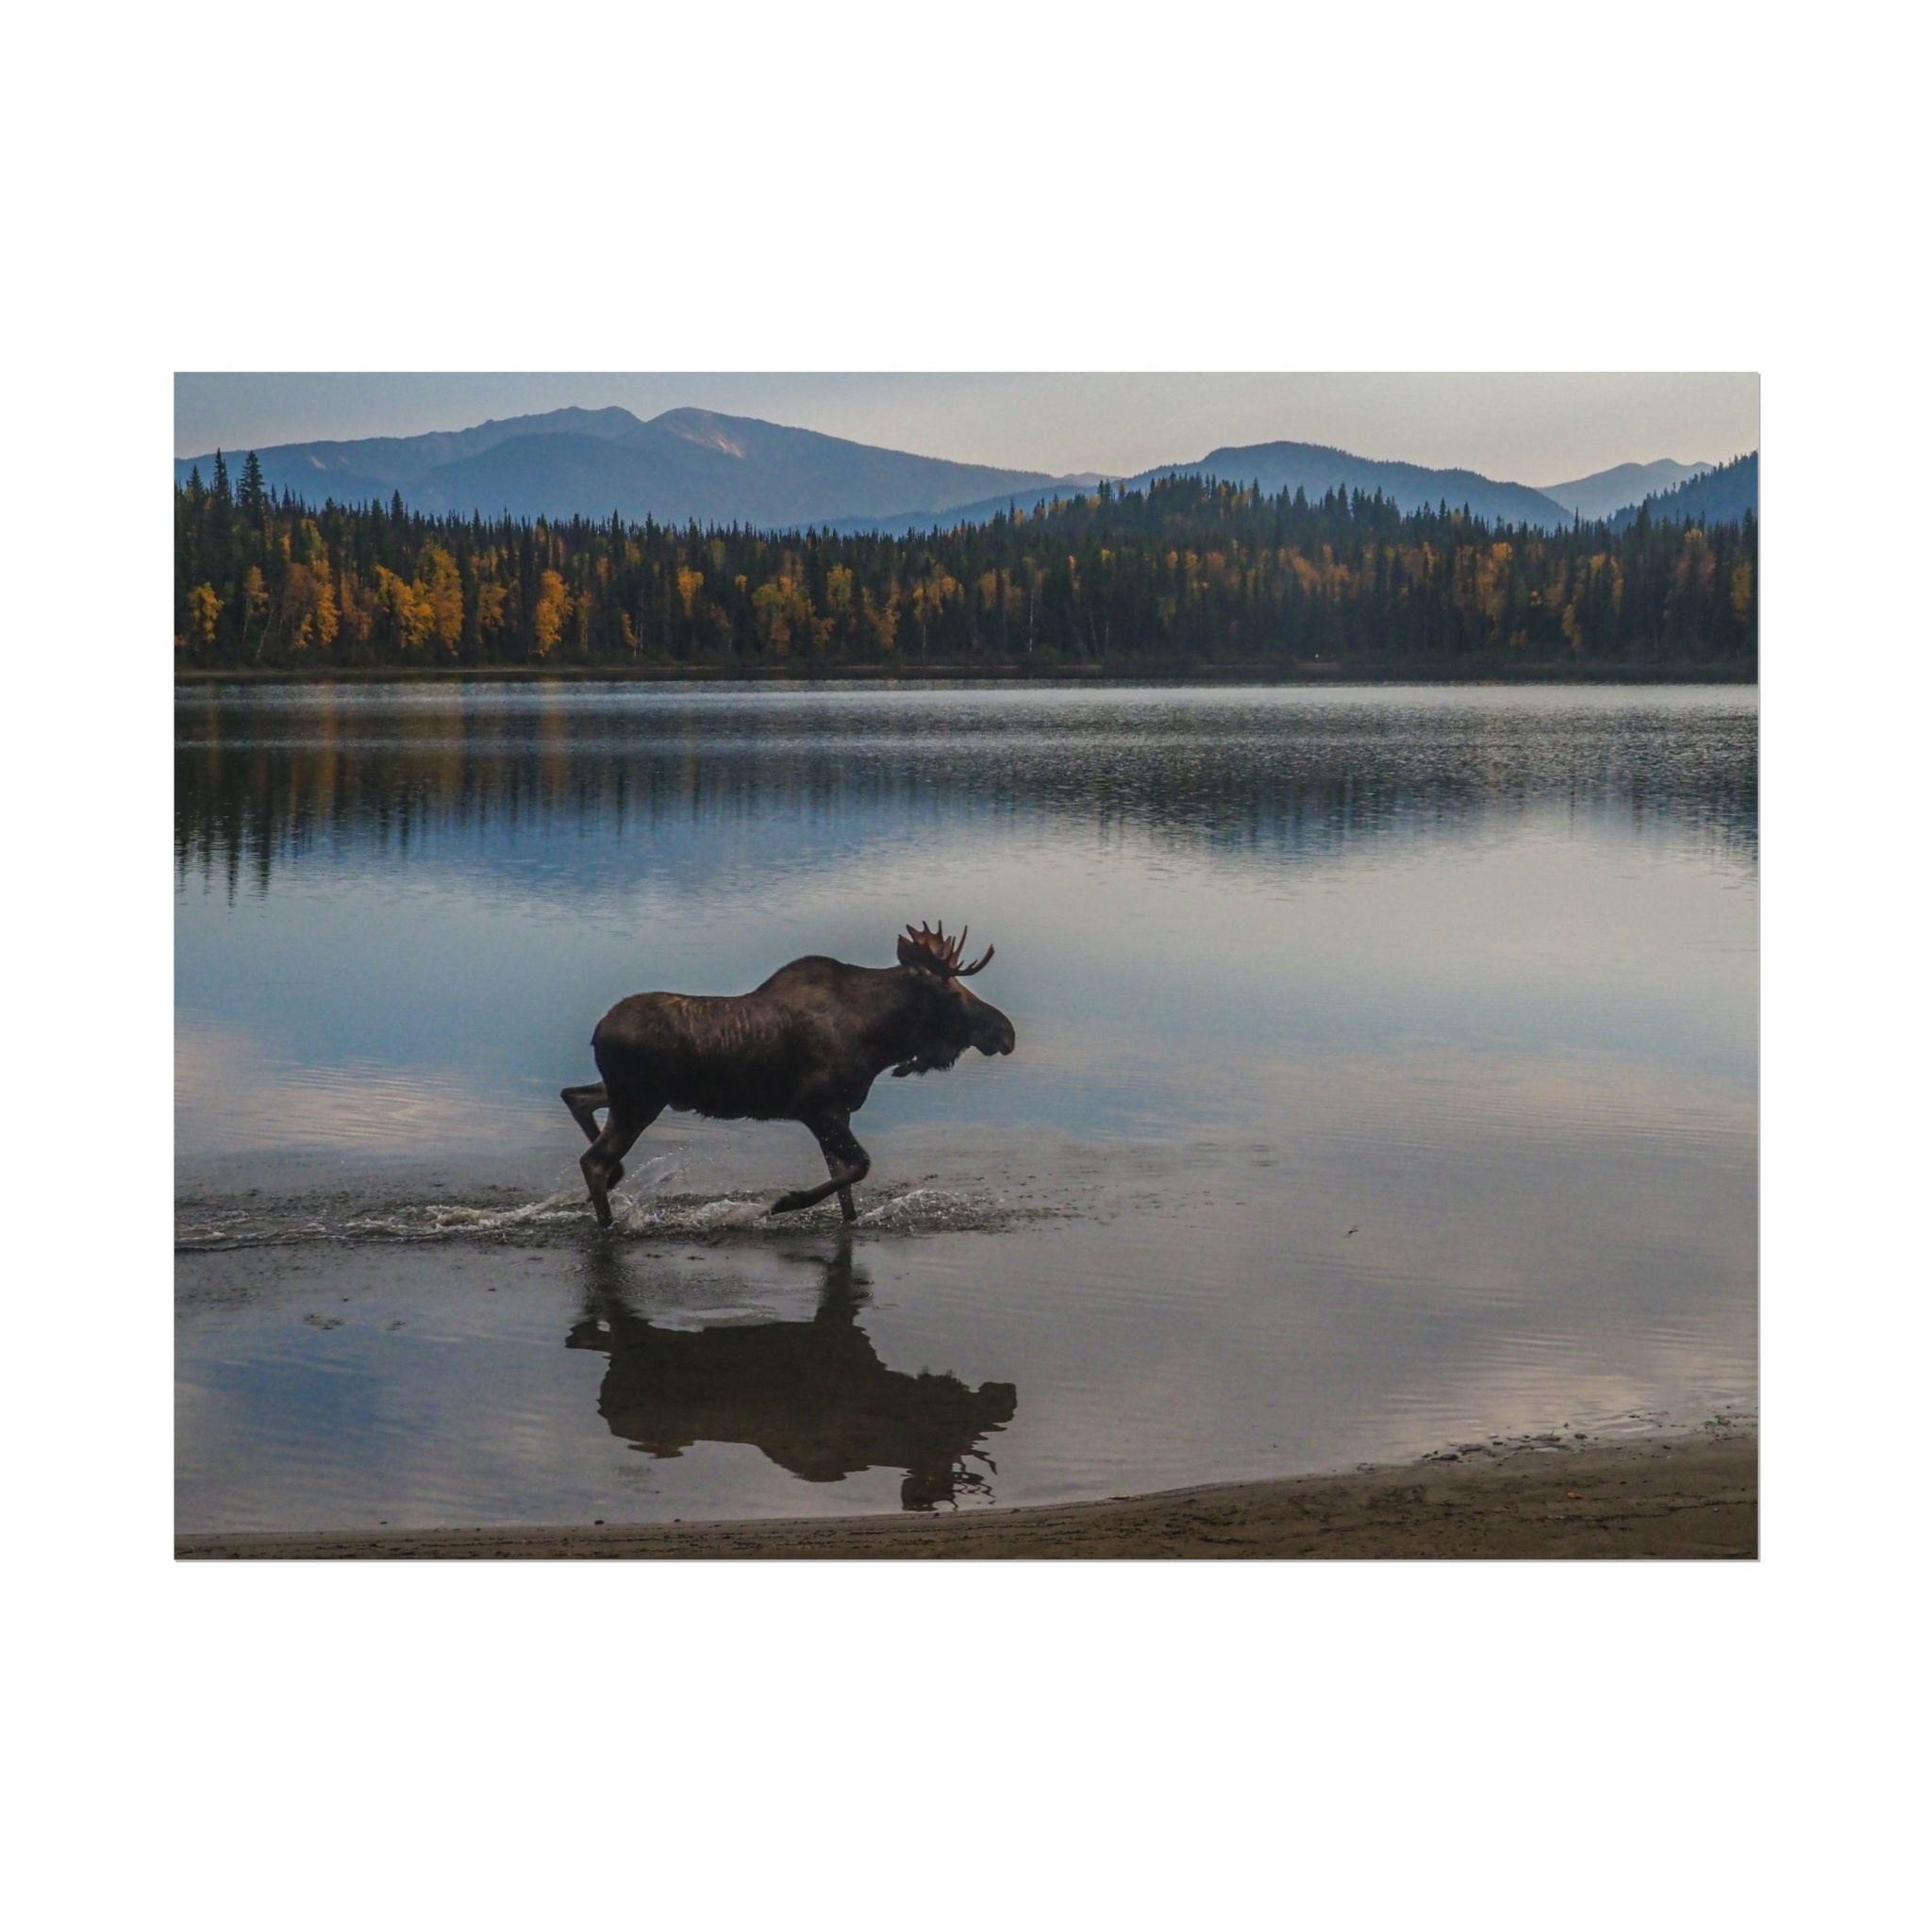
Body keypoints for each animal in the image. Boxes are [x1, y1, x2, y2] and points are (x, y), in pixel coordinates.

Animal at [561, 921, 1016, 1228]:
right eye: (951, 991)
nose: (1006, 1032)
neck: (880, 1040)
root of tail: (597, 1032)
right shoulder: (816, 1106)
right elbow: (860, 1166)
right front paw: (785, 1203)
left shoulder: (839, 1112)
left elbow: (846, 1188)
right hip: (638, 1101)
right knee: (592, 1160)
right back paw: (608, 1220)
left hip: (632, 1095)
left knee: (576, 1097)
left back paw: (616, 1180)